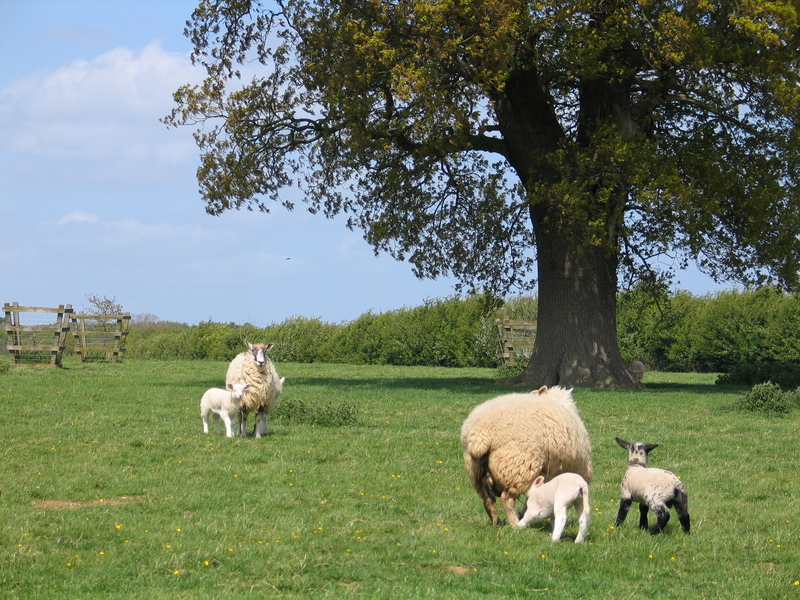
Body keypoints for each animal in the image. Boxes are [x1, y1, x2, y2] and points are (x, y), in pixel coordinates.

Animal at [460, 386, 592, 528]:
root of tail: (480, 435)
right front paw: (523, 513)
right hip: (519, 466)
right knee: (507, 499)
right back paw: (515, 524)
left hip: (476, 471)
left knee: (488, 500)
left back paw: (497, 523)